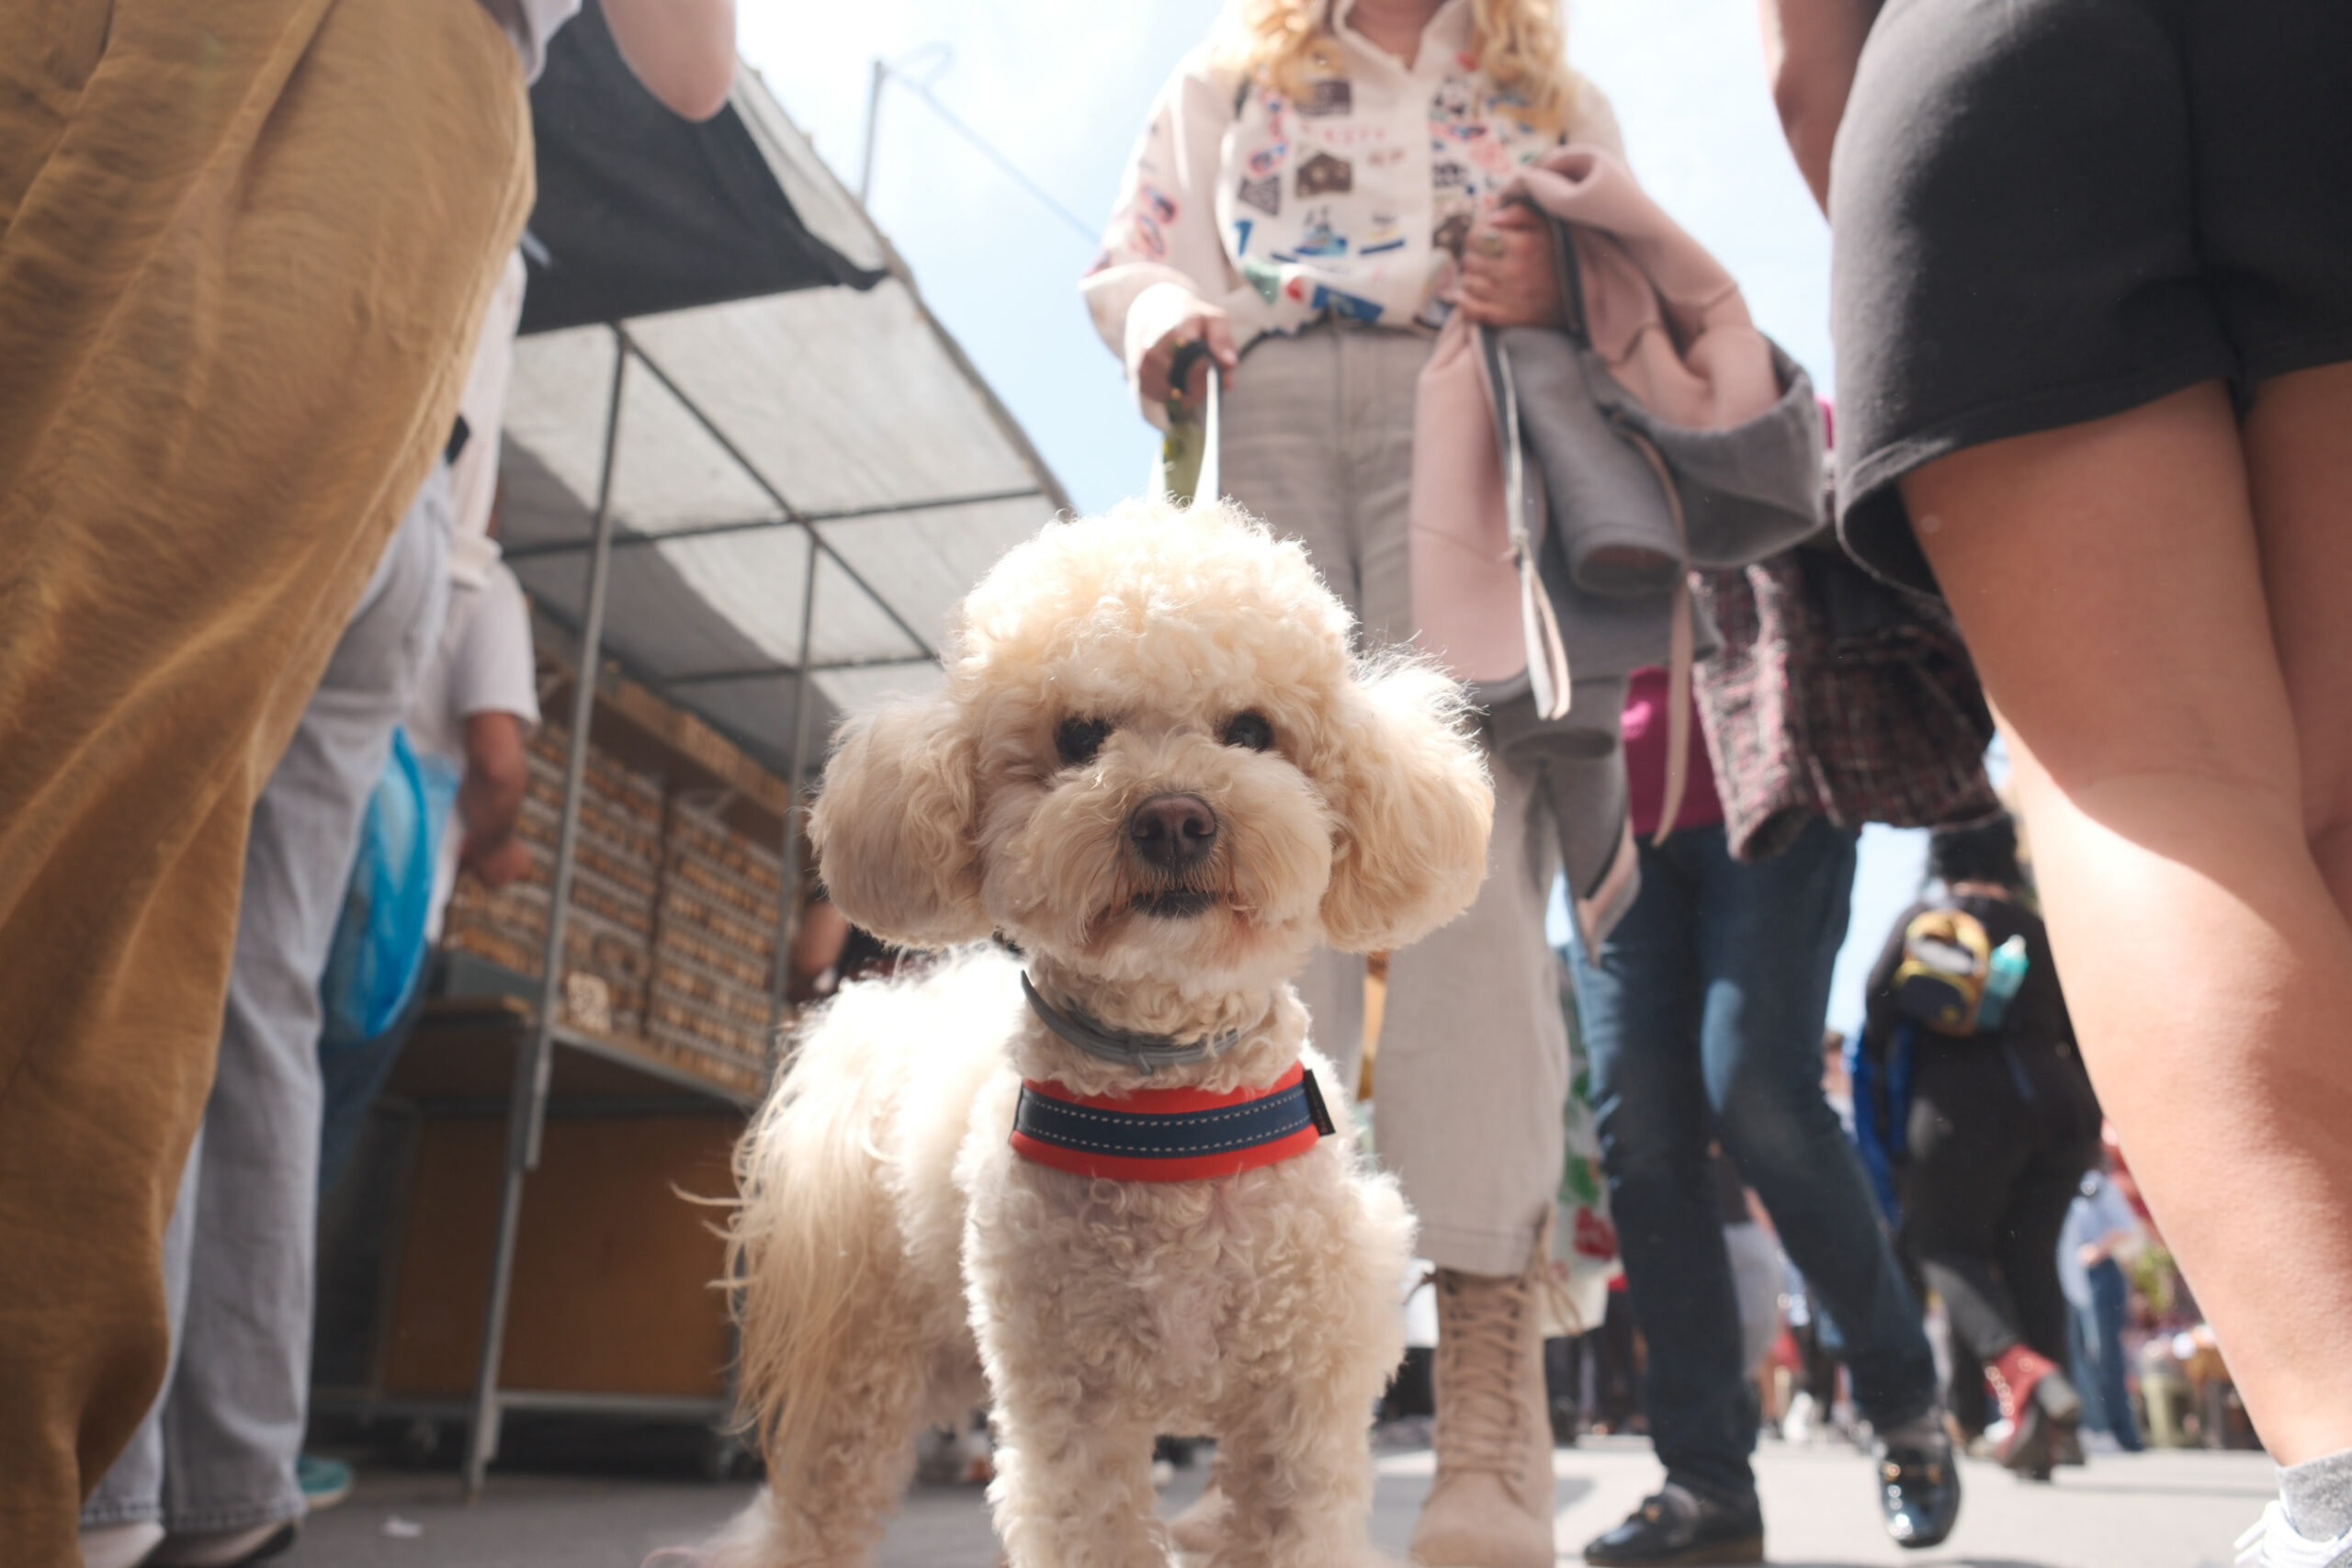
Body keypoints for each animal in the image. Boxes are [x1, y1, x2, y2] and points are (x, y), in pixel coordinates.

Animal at [702, 499, 1494, 1567]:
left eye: (1251, 730)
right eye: (1079, 736)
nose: (1173, 818)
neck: (1169, 1109)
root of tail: (899, 1020)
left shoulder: (1301, 1413)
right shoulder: (1068, 1412)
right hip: (877, 1356)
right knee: (815, 1502)